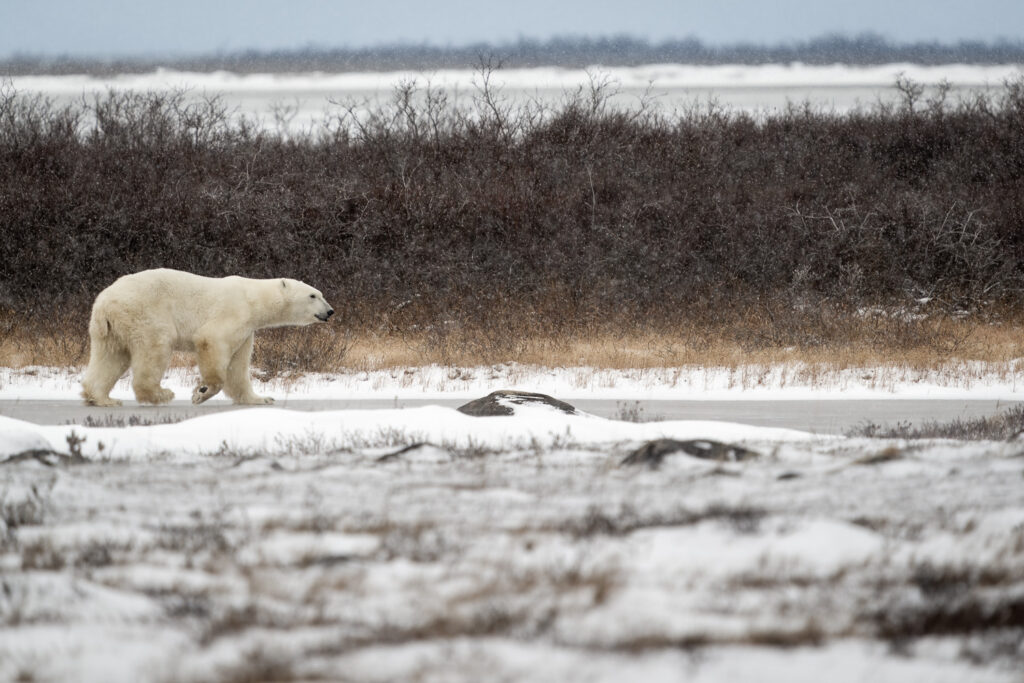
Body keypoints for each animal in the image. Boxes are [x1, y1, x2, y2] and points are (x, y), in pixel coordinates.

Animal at [80, 268, 334, 406]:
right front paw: (201, 392)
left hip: (111, 329)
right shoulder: (234, 312)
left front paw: (261, 398)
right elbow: (211, 341)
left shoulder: (246, 330)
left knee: (110, 357)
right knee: (155, 347)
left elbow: (237, 368)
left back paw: (102, 398)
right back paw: (161, 393)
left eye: (321, 294)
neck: (253, 299)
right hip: (145, 314)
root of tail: (104, 302)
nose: (330, 311)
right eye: (313, 295)